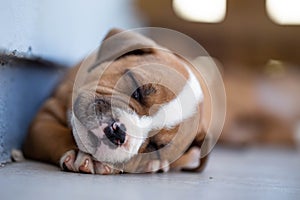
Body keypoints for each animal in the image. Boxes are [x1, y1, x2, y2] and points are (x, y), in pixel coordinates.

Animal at [23, 28, 211, 174]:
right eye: (136, 89)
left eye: (156, 147)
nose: (118, 132)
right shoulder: (42, 121)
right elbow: (56, 134)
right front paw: (80, 154)